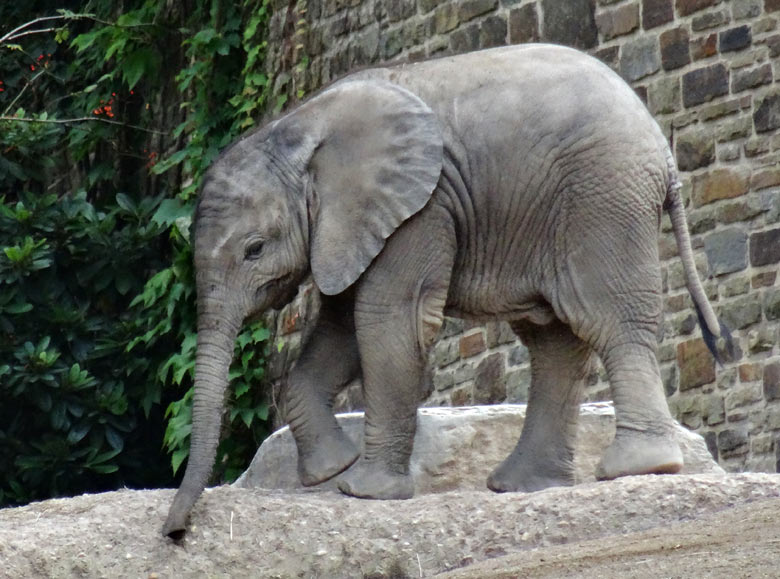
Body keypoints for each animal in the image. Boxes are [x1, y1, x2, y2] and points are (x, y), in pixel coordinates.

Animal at [161, 44, 736, 540]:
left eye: (254, 249)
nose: (174, 533)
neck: (298, 127)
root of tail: (662, 148)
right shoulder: (355, 224)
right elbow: (342, 326)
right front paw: (331, 470)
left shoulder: (420, 208)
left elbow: (389, 319)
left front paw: (363, 492)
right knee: (555, 341)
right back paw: (521, 486)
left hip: (604, 196)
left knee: (606, 319)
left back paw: (639, 467)